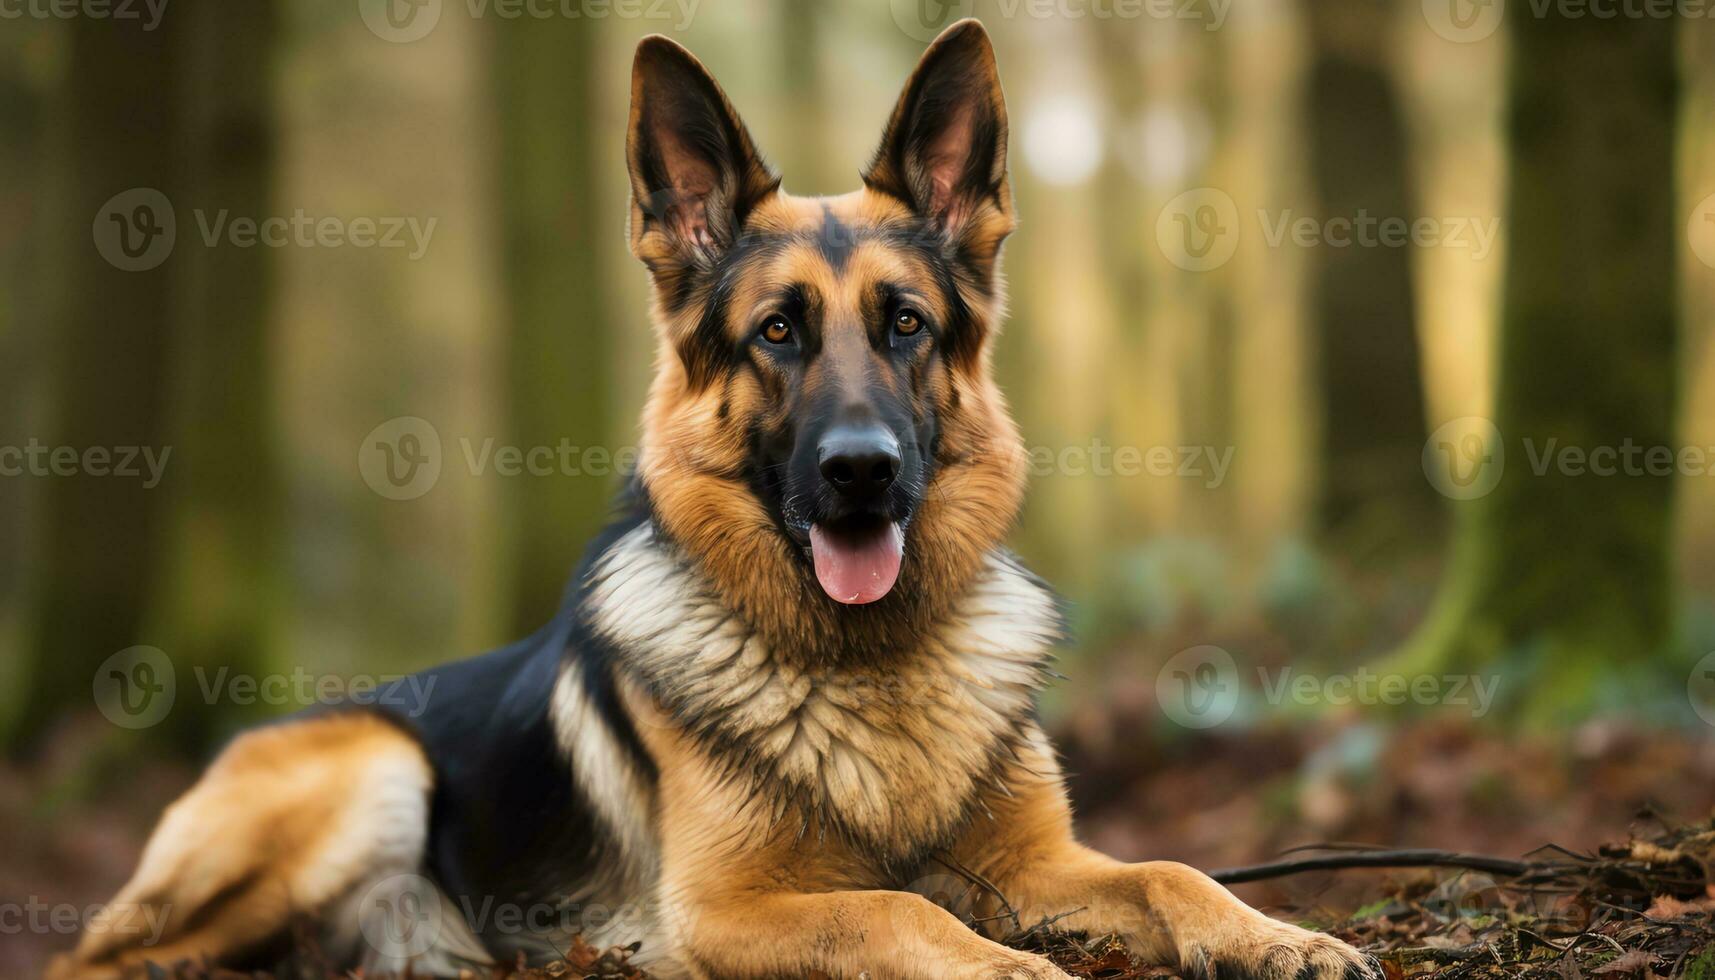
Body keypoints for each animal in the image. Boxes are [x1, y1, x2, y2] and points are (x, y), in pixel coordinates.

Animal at [53, 21, 1378, 980]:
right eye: (776, 332)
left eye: (906, 324)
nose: (860, 470)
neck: (867, 666)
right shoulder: (728, 906)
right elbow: (899, 910)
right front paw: (1010, 968)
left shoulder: (1038, 858)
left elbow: (1168, 869)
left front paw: (1276, 933)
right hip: (375, 768)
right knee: (103, 958)